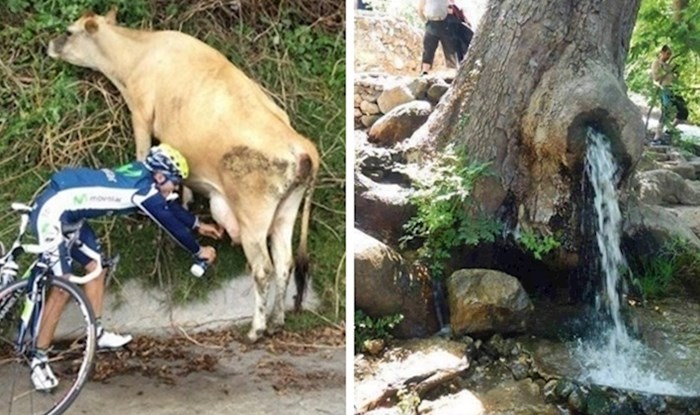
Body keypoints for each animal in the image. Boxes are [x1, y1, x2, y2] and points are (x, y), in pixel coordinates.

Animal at [48, 8, 320, 344]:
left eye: (69, 32)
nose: (50, 44)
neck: (139, 53)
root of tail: (301, 145)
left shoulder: (141, 112)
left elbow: (141, 152)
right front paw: (186, 200)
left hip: (253, 218)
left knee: (263, 269)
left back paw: (257, 329)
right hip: (285, 212)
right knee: (284, 264)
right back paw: (278, 320)